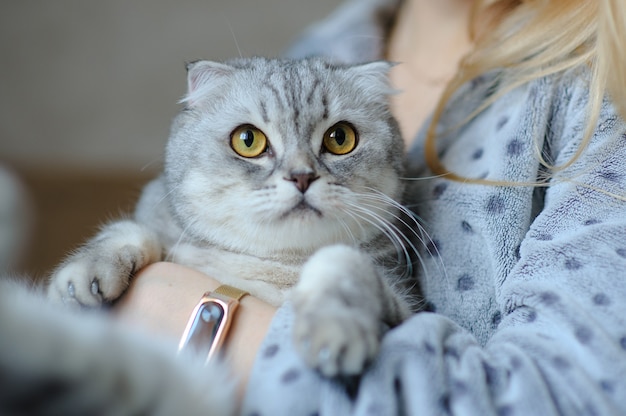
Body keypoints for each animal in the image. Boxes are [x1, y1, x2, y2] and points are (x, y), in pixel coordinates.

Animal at [42, 56, 420, 384]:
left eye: (340, 138)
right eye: (248, 140)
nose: (301, 177)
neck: (272, 263)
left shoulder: (405, 308)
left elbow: (340, 261)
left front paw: (336, 329)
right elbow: (132, 230)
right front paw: (86, 274)